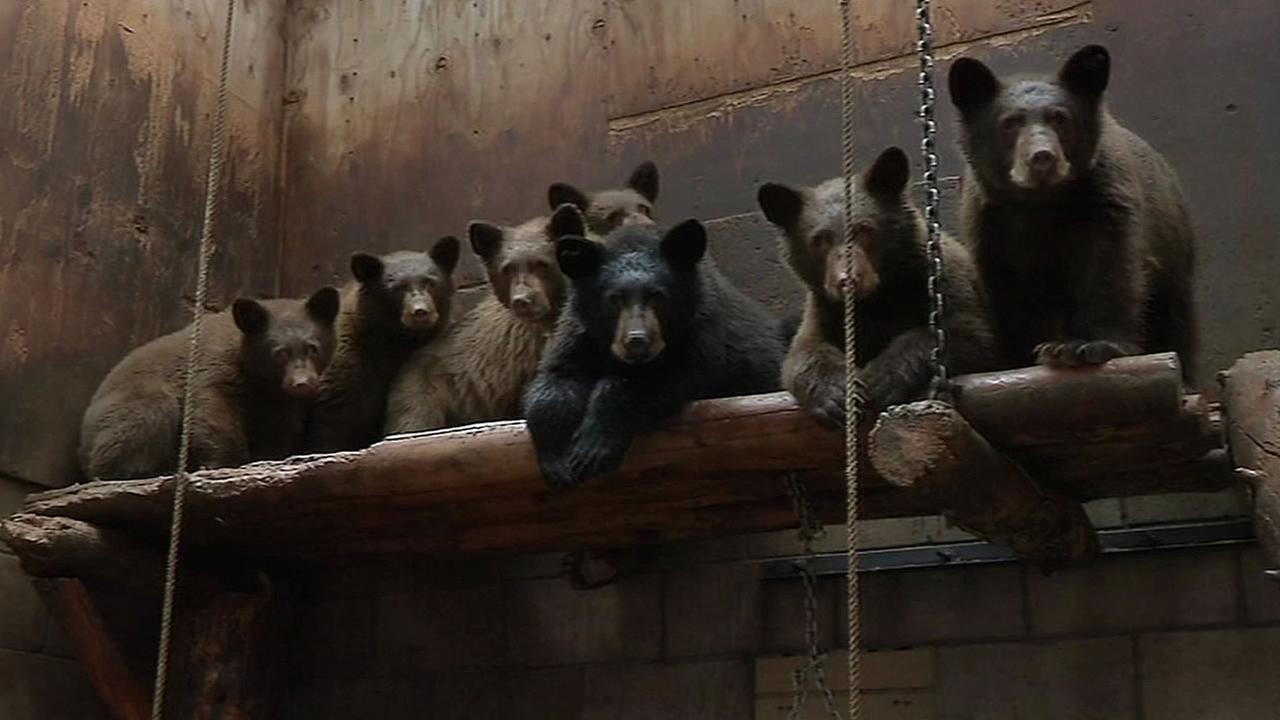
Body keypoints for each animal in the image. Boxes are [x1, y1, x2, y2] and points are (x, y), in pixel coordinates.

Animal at [79, 286, 341, 480]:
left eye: (313, 347)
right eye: (280, 352)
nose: (302, 384)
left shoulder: (277, 400)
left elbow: (277, 429)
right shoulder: (213, 368)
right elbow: (212, 411)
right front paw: (224, 463)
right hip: (131, 404)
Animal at [523, 219, 787, 488]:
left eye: (657, 296)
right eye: (614, 299)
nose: (637, 340)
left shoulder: (701, 335)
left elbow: (657, 382)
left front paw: (592, 449)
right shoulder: (578, 336)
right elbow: (557, 380)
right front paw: (558, 459)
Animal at [758, 147, 999, 426]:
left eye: (864, 229)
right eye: (819, 239)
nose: (848, 280)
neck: (878, 299)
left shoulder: (943, 280)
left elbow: (970, 335)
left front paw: (881, 379)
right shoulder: (825, 308)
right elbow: (802, 353)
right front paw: (837, 394)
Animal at [947, 44, 1198, 382]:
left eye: (1060, 118)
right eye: (1010, 123)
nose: (1042, 157)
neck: (1041, 203)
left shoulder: (1105, 198)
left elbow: (1110, 264)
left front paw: (1082, 347)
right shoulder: (989, 225)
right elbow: (1007, 291)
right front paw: (1022, 356)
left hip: (1175, 253)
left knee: (1176, 320)